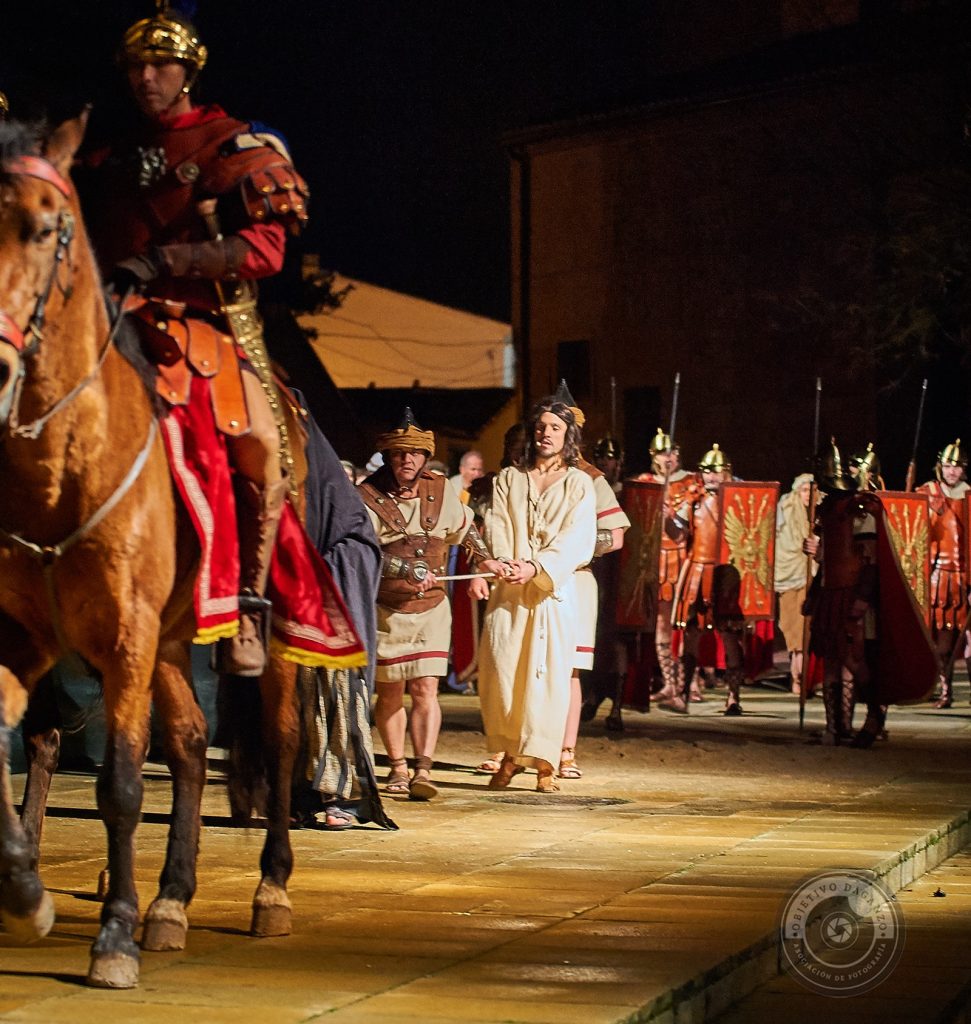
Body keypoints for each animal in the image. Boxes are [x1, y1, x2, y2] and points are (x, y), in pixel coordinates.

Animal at [0, 116, 301, 987]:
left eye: (45, 227)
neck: (62, 462)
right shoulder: (26, 640)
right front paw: (26, 892)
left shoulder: (124, 639)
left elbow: (123, 785)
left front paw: (113, 938)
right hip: (171, 642)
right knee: (195, 744)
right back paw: (172, 899)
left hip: (271, 635)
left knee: (278, 742)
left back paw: (268, 889)